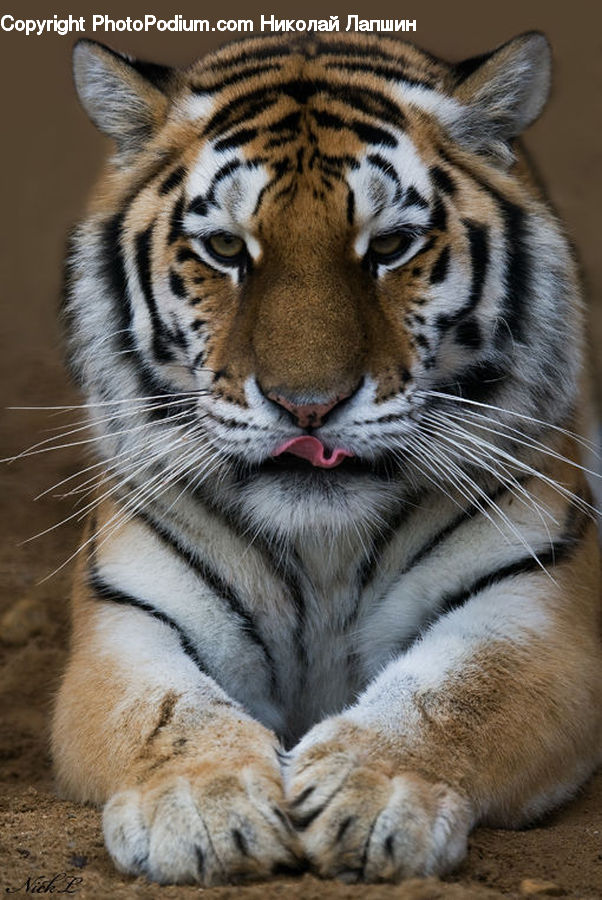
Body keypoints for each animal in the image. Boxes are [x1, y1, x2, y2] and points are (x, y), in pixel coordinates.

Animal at [51, 31, 602, 886]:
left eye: (390, 247)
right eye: (224, 249)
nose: (307, 406)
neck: (323, 554)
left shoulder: (530, 603)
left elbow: (452, 696)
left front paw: (370, 797)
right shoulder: (129, 615)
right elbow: (164, 710)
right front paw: (204, 809)